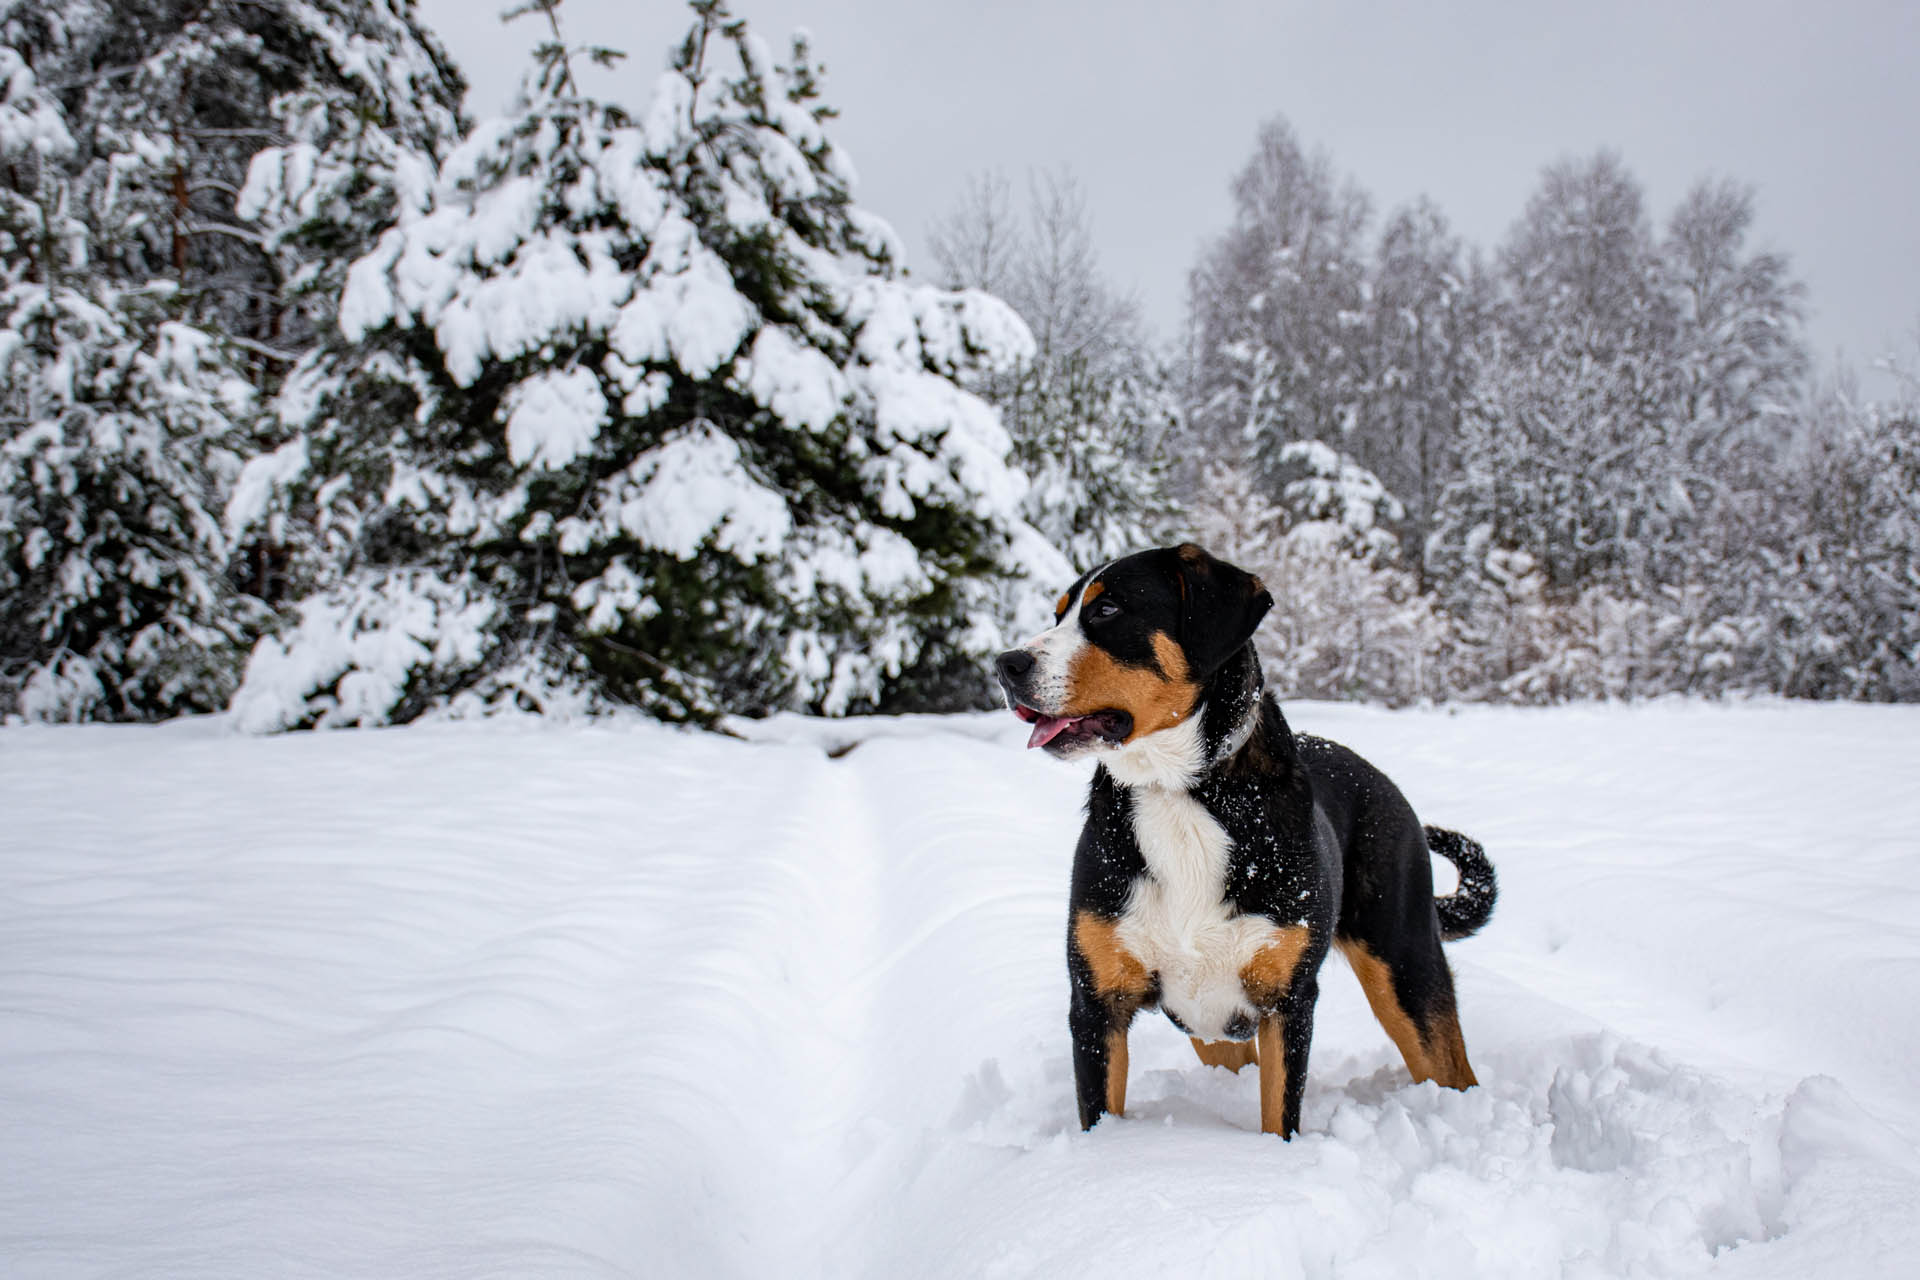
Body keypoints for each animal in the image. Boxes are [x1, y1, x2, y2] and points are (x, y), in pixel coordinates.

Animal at [998, 545, 1489, 1136]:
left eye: (1109, 609)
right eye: (1058, 615)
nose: (1005, 665)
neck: (1178, 791)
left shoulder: (1286, 1000)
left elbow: (1279, 1115)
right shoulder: (1097, 1002)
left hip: (1407, 969)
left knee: (1451, 1067)